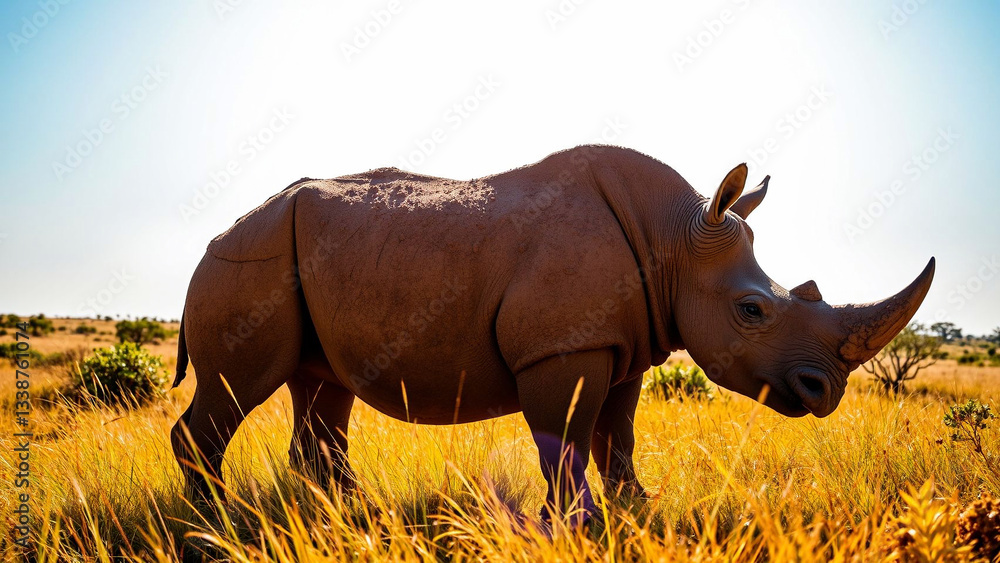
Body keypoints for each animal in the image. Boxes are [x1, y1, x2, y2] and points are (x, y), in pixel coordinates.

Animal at [171, 145, 934, 521]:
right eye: (752, 311)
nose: (823, 390)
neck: (675, 241)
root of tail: (217, 235)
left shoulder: (624, 346)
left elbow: (616, 437)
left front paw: (635, 512)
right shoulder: (563, 345)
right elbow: (565, 439)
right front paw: (576, 525)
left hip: (296, 259)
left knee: (322, 386)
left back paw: (342, 514)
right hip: (248, 261)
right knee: (240, 389)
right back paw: (214, 522)